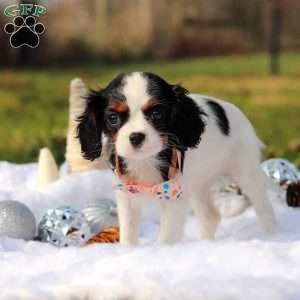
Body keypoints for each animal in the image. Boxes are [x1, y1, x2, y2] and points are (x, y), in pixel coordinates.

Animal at [76, 71, 278, 245]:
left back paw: (272, 235)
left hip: (245, 169)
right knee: (210, 216)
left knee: (264, 208)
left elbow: (166, 239)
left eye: (156, 114)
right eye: (113, 118)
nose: (136, 136)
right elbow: (128, 235)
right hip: (197, 185)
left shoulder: (174, 198)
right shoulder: (127, 195)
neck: (146, 160)